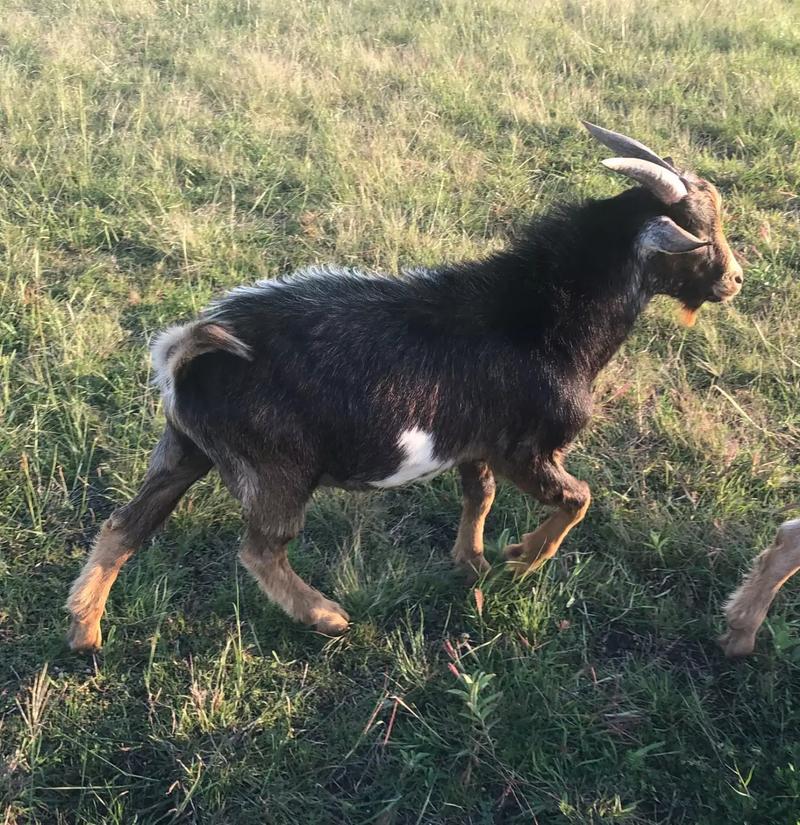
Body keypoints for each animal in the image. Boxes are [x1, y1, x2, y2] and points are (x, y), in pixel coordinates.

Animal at [66, 122, 743, 650]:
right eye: (701, 234)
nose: (735, 279)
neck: (542, 320)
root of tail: (185, 356)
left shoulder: (474, 443)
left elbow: (479, 496)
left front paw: (472, 562)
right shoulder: (525, 448)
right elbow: (578, 497)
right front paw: (522, 560)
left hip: (184, 450)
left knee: (126, 526)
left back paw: (85, 631)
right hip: (274, 469)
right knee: (260, 549)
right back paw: (326, 616)